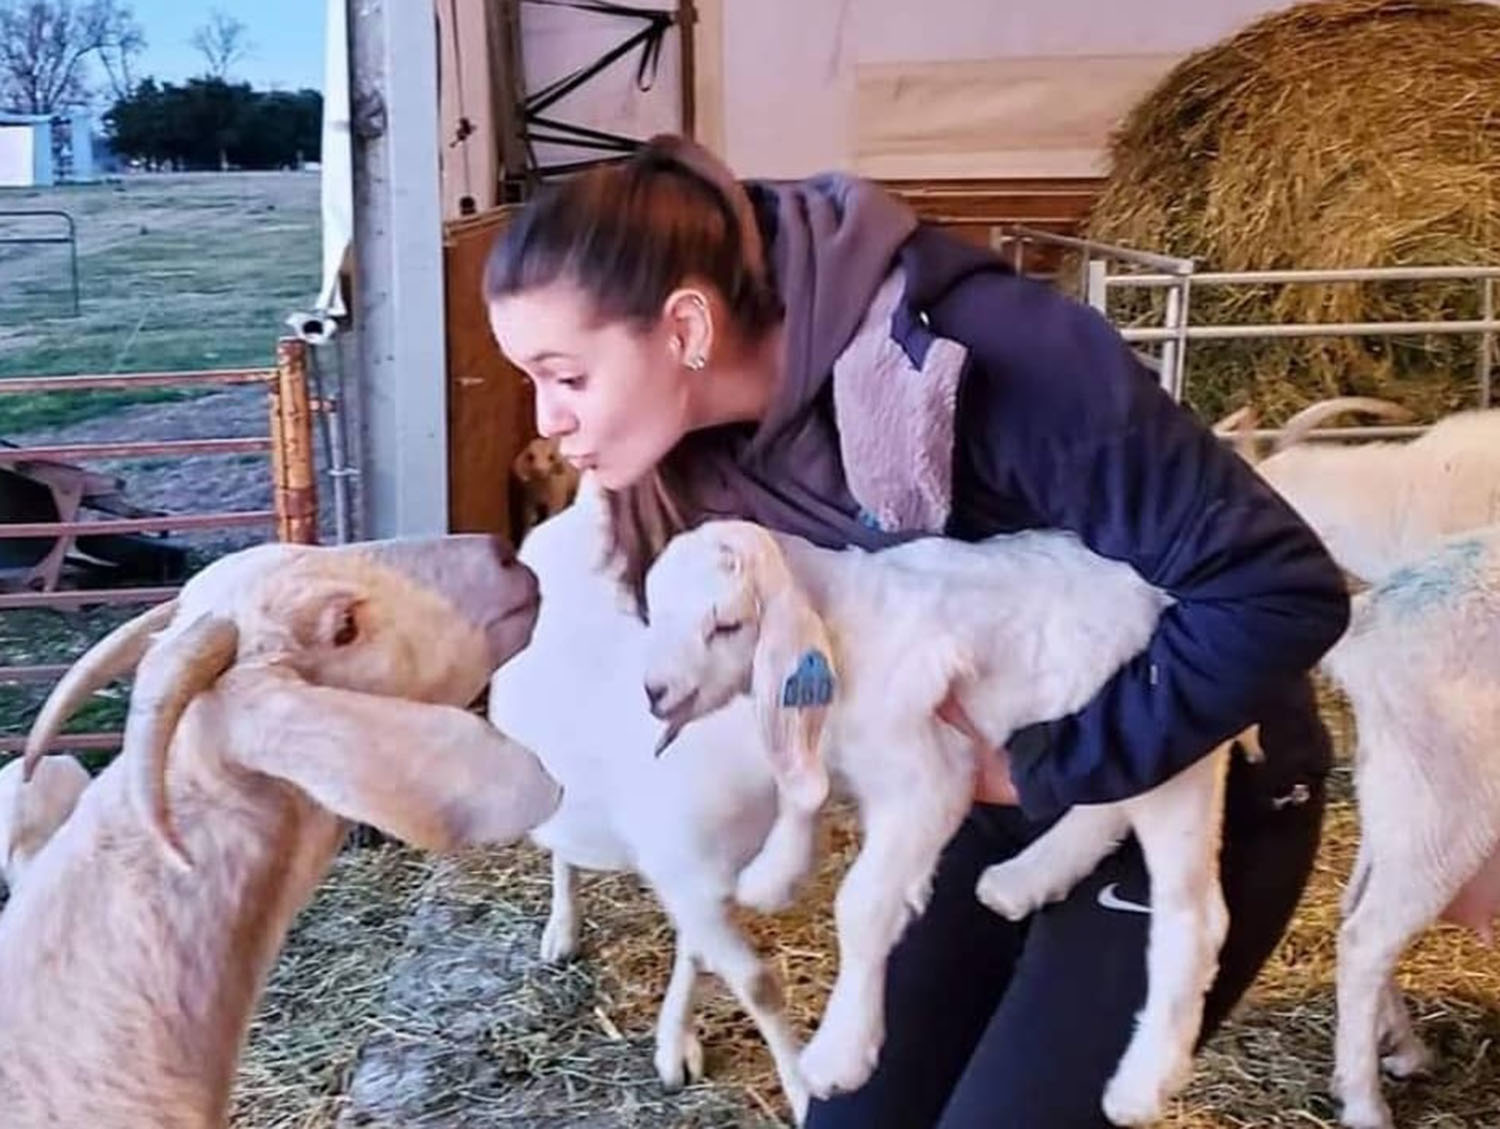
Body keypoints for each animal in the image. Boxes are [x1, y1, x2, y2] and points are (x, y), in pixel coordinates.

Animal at [489, 476, 816, 1121]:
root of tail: (588, 511)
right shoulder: (686, 868)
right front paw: (802, 1091)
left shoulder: (704, 879)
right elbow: (760, 986)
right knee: (560, 842)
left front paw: (674, 1047)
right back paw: (562, 930)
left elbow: (695, 954)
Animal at [645, 518, 1242, 1121]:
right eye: (654, 611)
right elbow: (801, 797)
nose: (655, 692)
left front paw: (842, 1052)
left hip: (1171, 754)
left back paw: (1141, 1085)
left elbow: (861, 905)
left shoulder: (929, 781)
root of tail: (1161, 598)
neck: (846, 622)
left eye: (726, 625)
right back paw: (1023, 880)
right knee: (1103, 805)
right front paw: (774, 874)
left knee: (1194, 915)